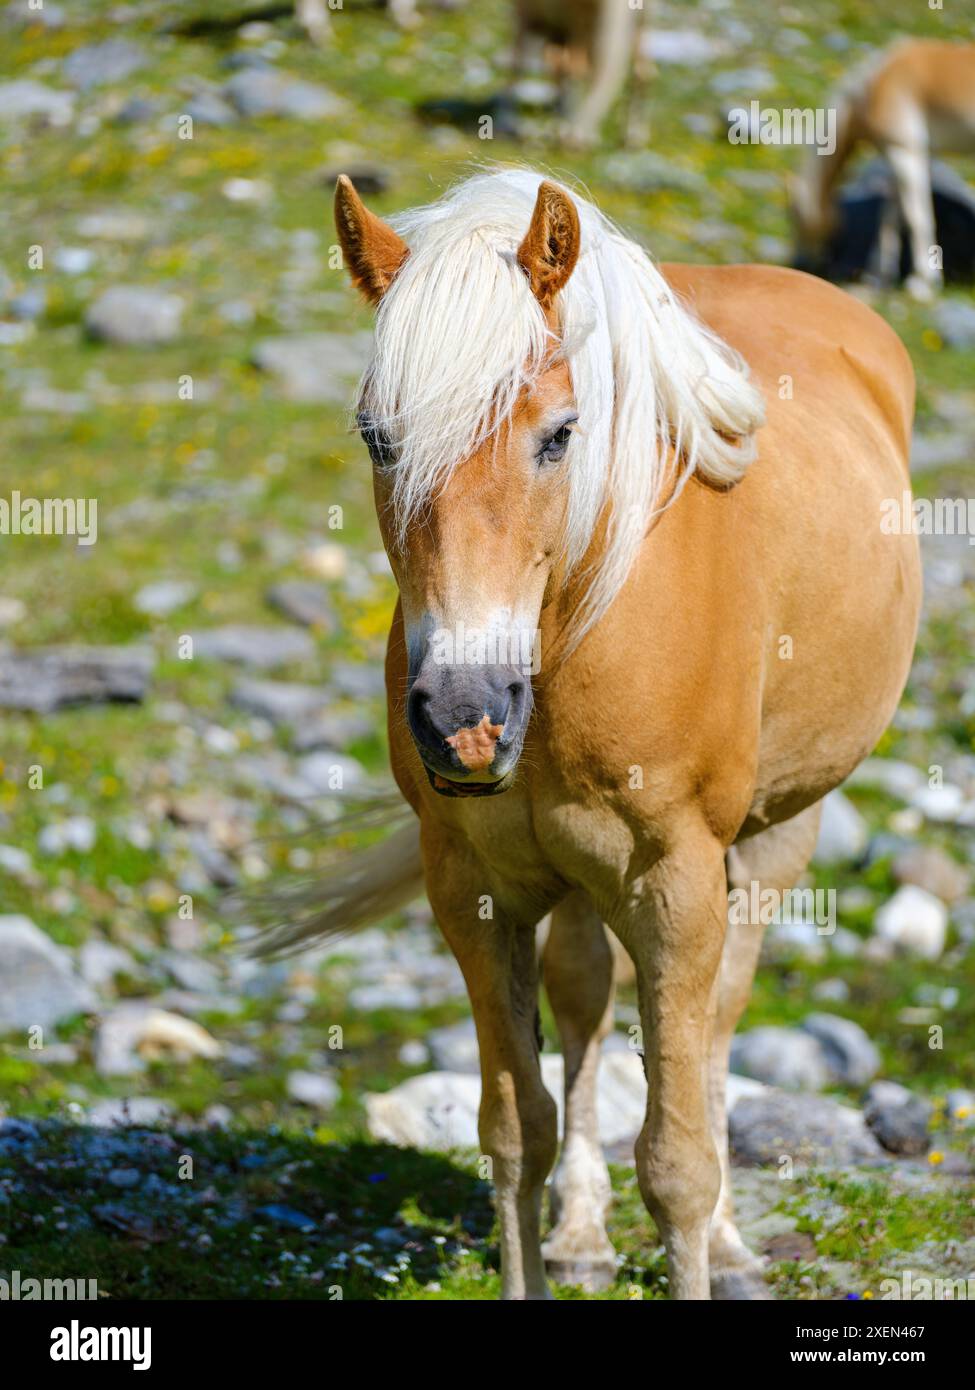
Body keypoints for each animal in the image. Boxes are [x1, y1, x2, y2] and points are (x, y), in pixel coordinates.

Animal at [267, 167, 920, 1299]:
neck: (579, 621)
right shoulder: (472, 889)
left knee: (717, 1025)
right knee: (582, 1002)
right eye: (378, 436)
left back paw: (733, 1242)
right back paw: (581, 1229)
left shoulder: (677, 885)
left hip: (775, 834)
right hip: (573, 874)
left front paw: (701, 1236)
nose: (464, 718)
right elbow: (513, 1130)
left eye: (561, 433)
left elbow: (677, 1158)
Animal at [792, 38, 975, 298]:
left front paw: (922, 284)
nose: (799, 263)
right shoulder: (901, 159)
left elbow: (916, 218)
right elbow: (891, 219)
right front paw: (878, 277)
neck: (874, 86)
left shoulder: (905, 154)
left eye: (794, 217)